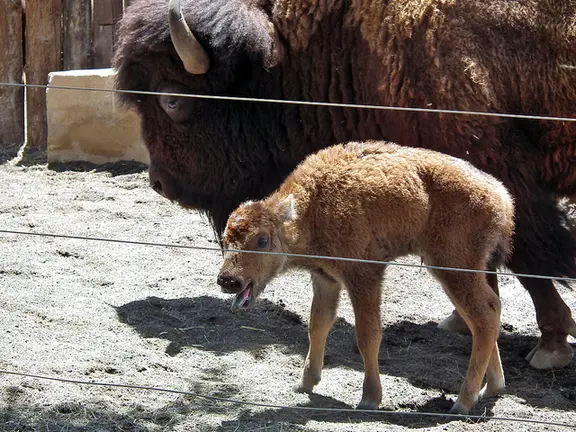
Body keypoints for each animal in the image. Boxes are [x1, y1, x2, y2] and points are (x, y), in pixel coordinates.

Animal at [112, 0, 576, 368]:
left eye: (173, 100)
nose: (159, 183)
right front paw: (462, 323)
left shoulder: (506, 179)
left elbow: (527, 258)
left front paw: (550, 346)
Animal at [218, 141, 516, 412]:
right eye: (226, 239)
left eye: (262, 240)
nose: (228, 280)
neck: (311, 207)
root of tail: (501, 196)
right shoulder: (325, 278)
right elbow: (318, 324)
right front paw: (305, 383)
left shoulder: (363, 276)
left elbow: (367, 334)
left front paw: (369, 399)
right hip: (463, 272)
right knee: (484, 313)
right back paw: (491, 388)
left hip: (453, 268)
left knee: (484, 314)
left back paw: (463, 402)